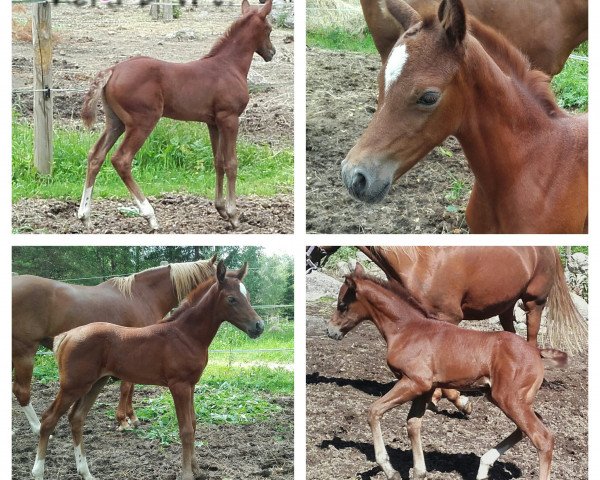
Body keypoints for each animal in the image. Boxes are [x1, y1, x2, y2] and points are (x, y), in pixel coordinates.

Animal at [31, 262, 262, 480]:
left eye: (248, 296)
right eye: (232, 299)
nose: (258, 326)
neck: (185, 335)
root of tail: (67, 336)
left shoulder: (191, 386)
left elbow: (194, 424)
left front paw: (197, 470)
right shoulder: (179, 386)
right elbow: (186, 430)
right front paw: (187, 473)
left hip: (95, 384)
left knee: (76, 418)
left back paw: (86, 472)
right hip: (73, 385)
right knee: (49, 419)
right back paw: (38, 472)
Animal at [328, 262, 568, 480]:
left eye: (342, 304)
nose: (330, 331)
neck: (406, 329)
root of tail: (536, 352)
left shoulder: (414, 381)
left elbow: (374, 411)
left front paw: (390, 470)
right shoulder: (425, 387)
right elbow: (413, 424)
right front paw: (419, 471)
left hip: (509, 398)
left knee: (542, 437)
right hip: (503, 397)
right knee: (525, 429)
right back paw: (483, 466)